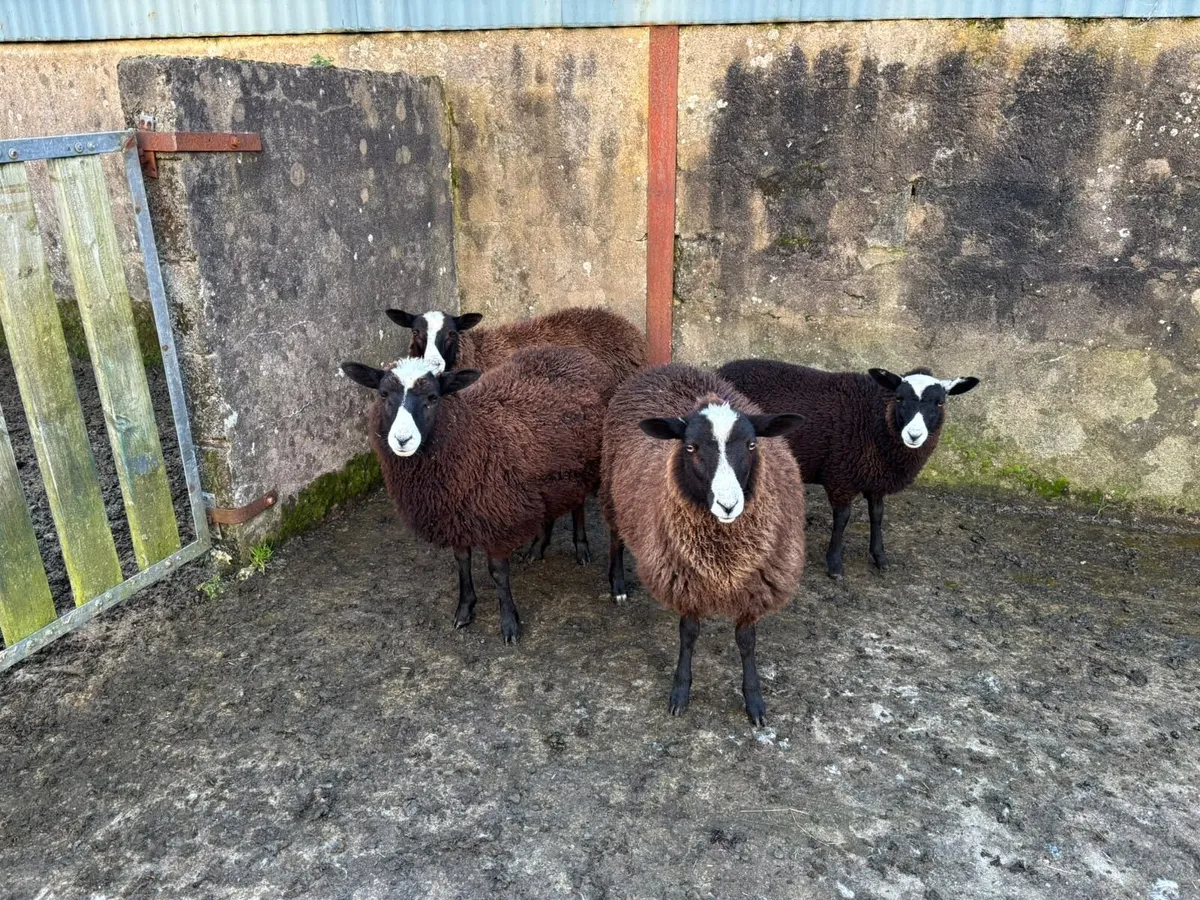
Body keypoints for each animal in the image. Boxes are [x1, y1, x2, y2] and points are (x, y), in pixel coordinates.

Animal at [340, 347, 618, 644]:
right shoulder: (456, 518)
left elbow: (497, 572)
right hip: (553, 476)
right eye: (383, 394)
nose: (402, 440)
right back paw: (537, 547)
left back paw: (582, 548)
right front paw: (464, 610)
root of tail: (575, 353)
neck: (473, 438)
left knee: (579, 505)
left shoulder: (498, 518)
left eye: (433, 398)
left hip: (591, 466)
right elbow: (462, 563)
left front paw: (509, 624)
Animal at [387, 305, 648, 564]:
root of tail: (621, 322)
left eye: (452, 333)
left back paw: (578, 545)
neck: (479, 353)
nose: (433, 365)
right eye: (415, 332)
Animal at [599, 364, 807, 726]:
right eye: (691, 447)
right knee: (615, 538)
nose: (728, 505)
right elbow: (688, 634)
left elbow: (747, 642)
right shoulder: (686, 583)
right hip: (612, 489)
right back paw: (619, 585)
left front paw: (754, 701)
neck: (723, 559)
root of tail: (666, 366)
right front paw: (680, 692)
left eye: (752, 444)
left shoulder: (754, 588)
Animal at [717, 359, 980, 580]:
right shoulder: (841, 476)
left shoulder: (876, 480)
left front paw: (880, 557)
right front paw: (834, 563)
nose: (914, 435)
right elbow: (842, 518)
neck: (874, 417)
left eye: (940, 402)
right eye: (899, 398)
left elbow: (877, 514)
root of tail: (721, 370)